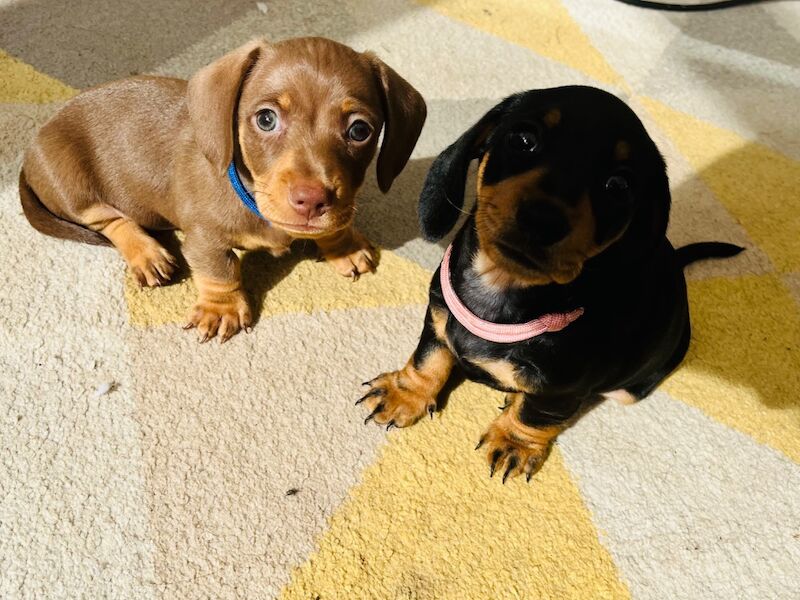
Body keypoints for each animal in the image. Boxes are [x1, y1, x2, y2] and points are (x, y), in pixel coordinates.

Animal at [20, 37, 424, 342]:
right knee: (110, 220)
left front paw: (343, 243)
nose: (311, 200)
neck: (251, 195)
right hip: (73, 184)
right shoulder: (203, 238)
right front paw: (221, 308)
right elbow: (220, 269)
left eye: (360, 130)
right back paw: (147, 254)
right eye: (266, 119)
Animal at [360, 86, 740, 482]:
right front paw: (405, 394)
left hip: (632, 387)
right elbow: (428, 360)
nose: (542, 219)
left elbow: (536, 415)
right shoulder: (437, 318)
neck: (502, 288)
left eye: (618, 186)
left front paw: (515, 442)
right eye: (523, 139)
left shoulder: (562, 388)